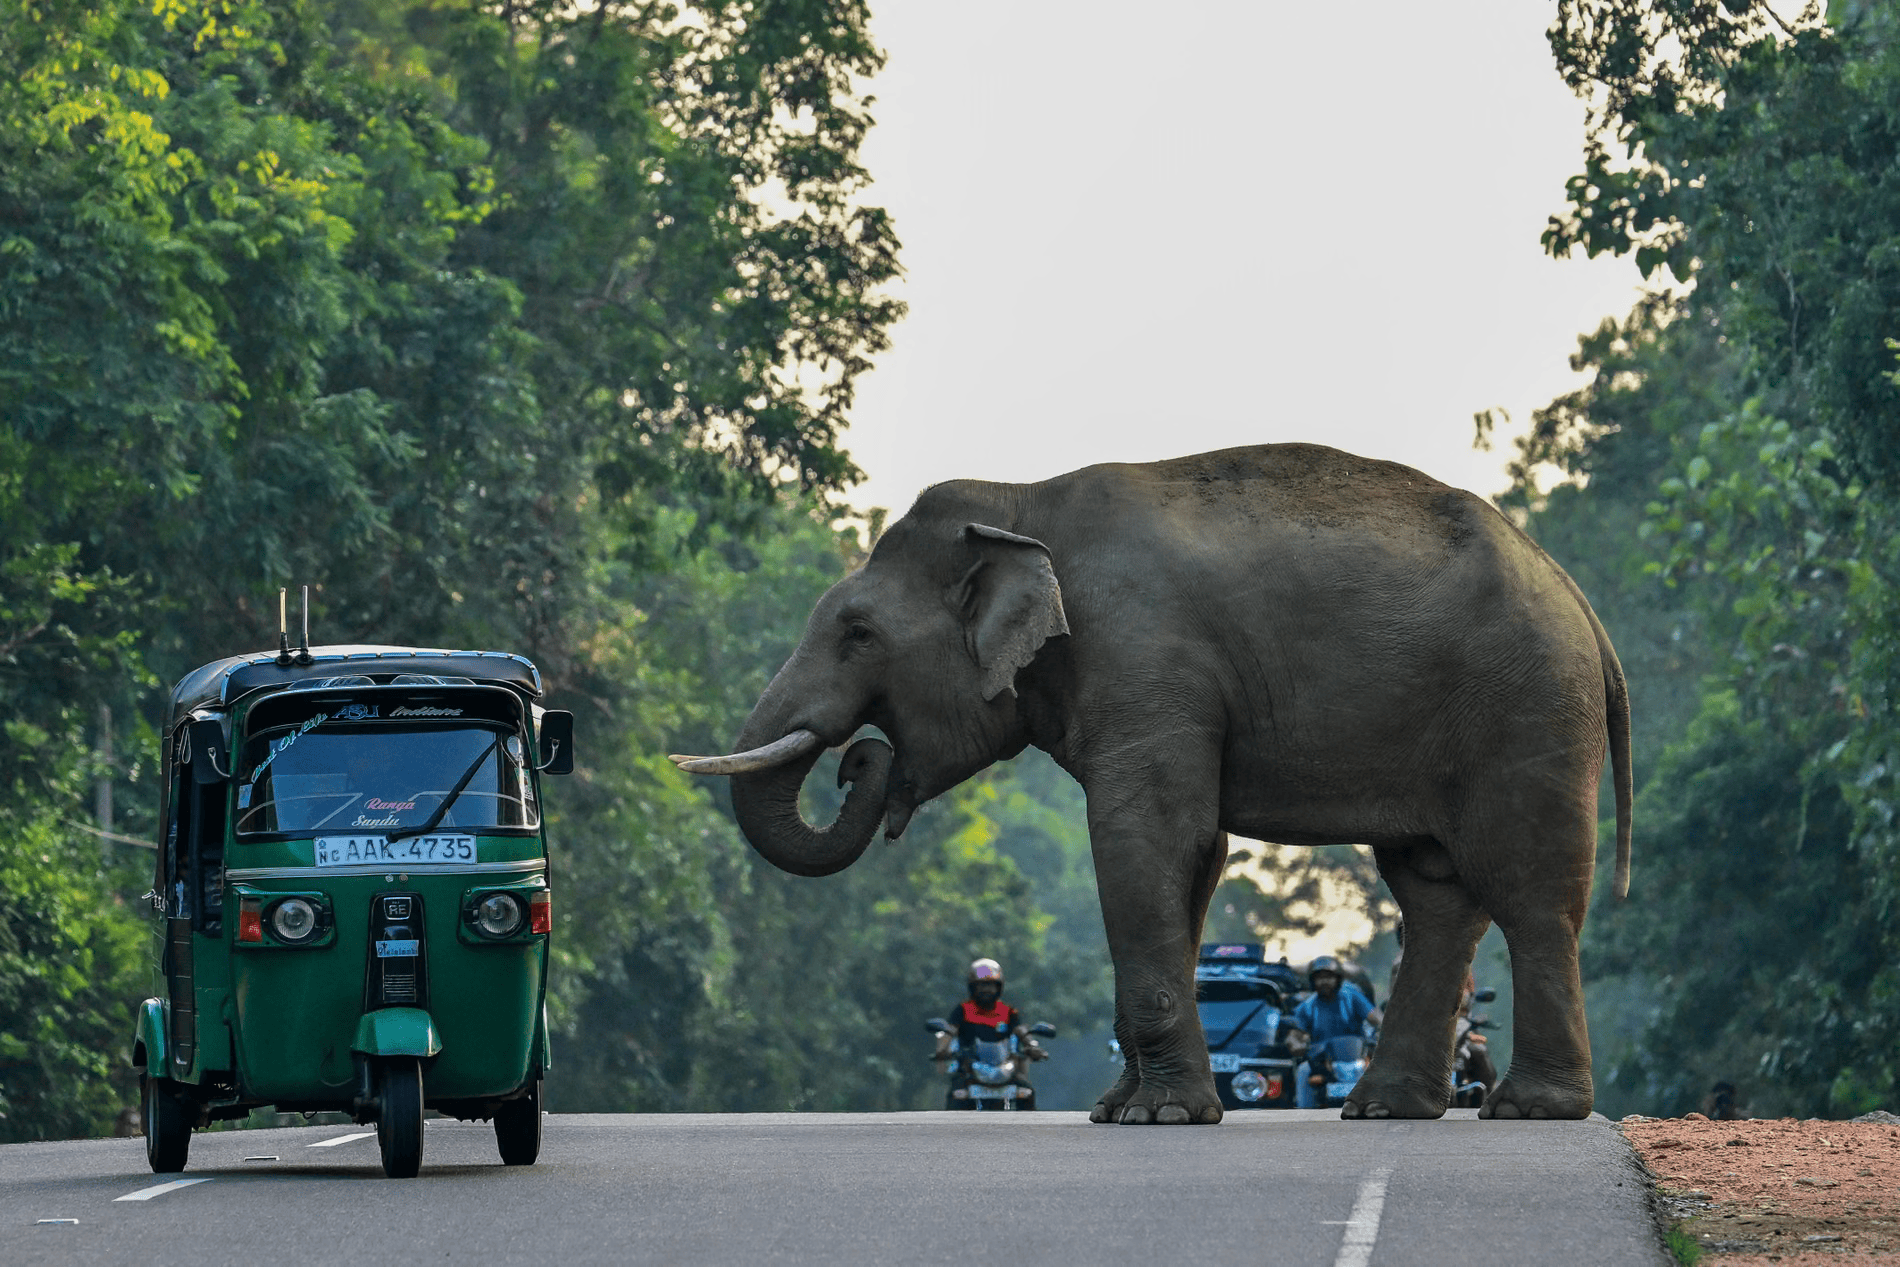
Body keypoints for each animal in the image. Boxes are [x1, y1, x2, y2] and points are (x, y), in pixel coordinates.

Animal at [676, 440, 1626, 1124]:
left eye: (858, 632)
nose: (857, 760)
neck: (1021, 504)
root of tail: (1576, 595)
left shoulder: (1145, 660)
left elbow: (1145, 837)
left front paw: (1160, 1116)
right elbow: (1191, 858)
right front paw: (1116, 1110)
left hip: (1527, 707)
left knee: (1528, 888)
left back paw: (1530, 1110)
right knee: (1433, 891)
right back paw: (1386, 1110)